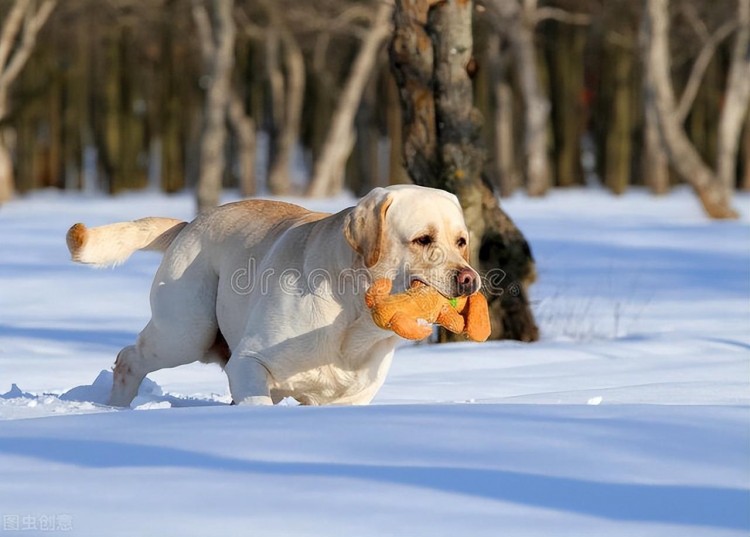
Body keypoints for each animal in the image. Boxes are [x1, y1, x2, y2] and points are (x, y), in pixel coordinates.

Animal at [69, 185, 482, 406]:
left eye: (461, 241)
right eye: (422, 240)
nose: (469, 279)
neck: (352, 314)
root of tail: (190, 224)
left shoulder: (353, 396)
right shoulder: (249, 363)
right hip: (186, 331)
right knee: (129, 358)